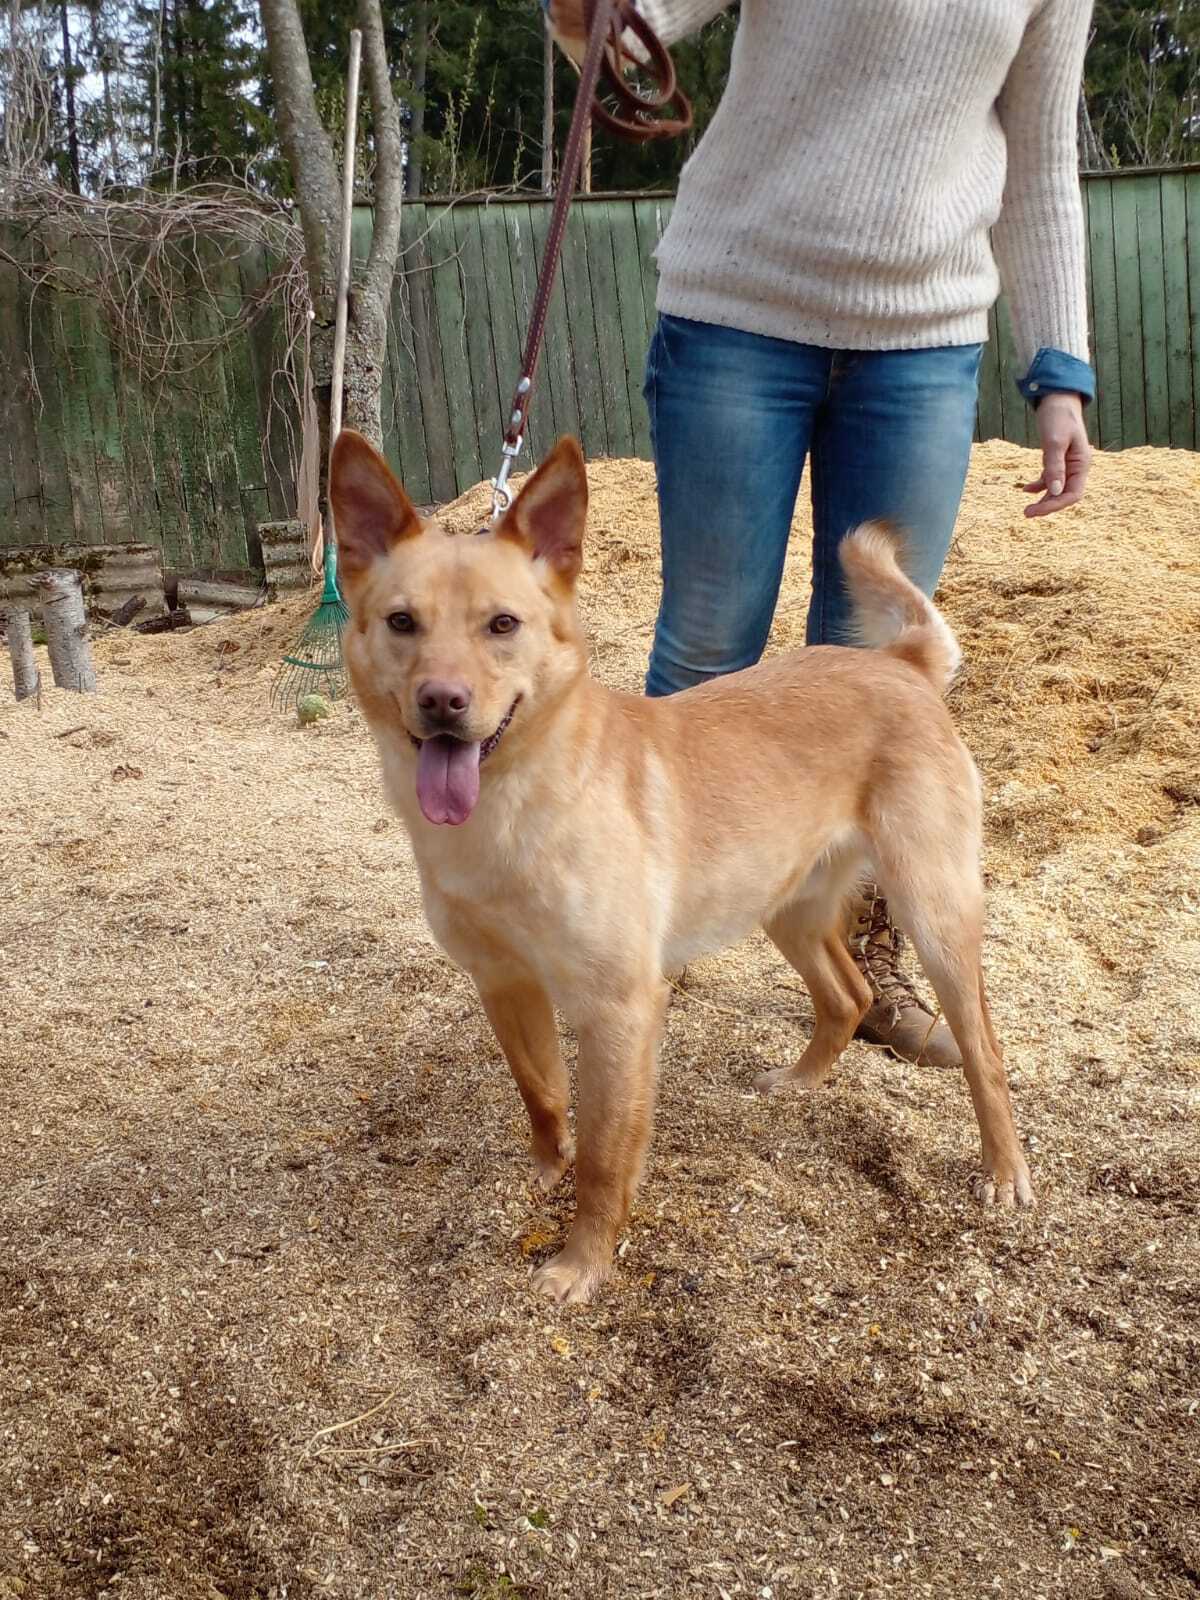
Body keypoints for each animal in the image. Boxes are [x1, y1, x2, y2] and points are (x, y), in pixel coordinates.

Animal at [334, 432, 1036, 1305]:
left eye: (502, 624)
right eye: (402, 622)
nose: (442, 702)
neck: (512, 808)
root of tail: (899, 664)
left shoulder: (619, 1009)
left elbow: (607, 1157)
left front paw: (582, 1263)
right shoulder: (503, 982)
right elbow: (541, 1095)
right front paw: (543, 1171)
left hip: (932, 910)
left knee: (984, 1049)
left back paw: (1003, 1170)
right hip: (785, 905)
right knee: (848, 994)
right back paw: (800, 1083)